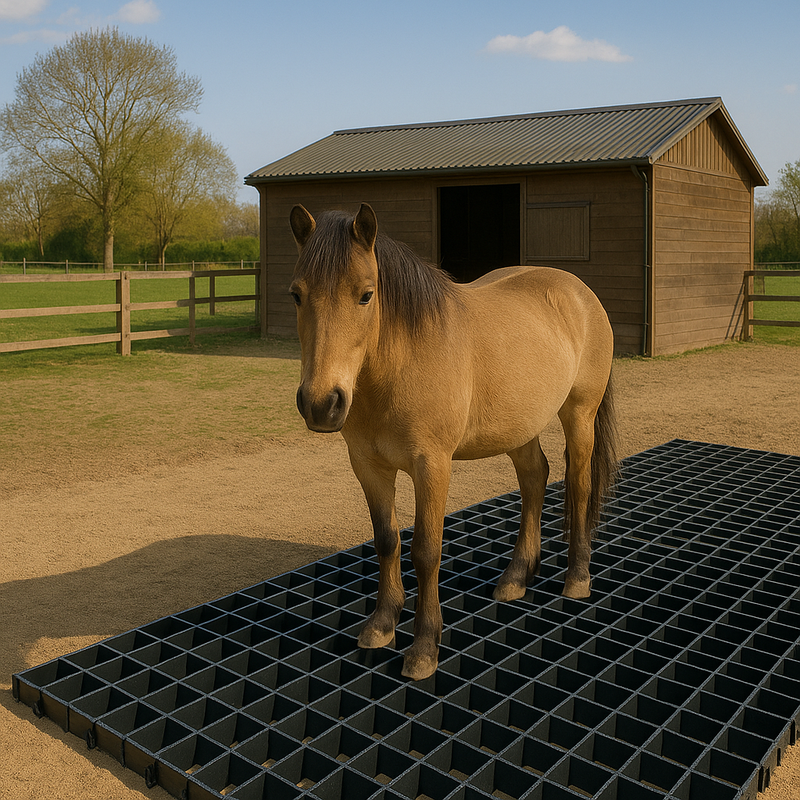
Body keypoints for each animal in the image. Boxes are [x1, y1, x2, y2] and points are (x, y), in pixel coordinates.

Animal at [289, 203, 617, 681]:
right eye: (297, 294)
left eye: (366, 295)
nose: (321, 403)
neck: (401, 361)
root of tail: (579, 291)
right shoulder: (368, 466)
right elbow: (387, 541)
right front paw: (382, 625)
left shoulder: (432, 465)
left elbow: (426, 551)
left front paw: (425, 647)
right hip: (519, 424)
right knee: (534, 478)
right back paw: (516, 576)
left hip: (579, 415)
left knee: (577, 484)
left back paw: (576, 577)